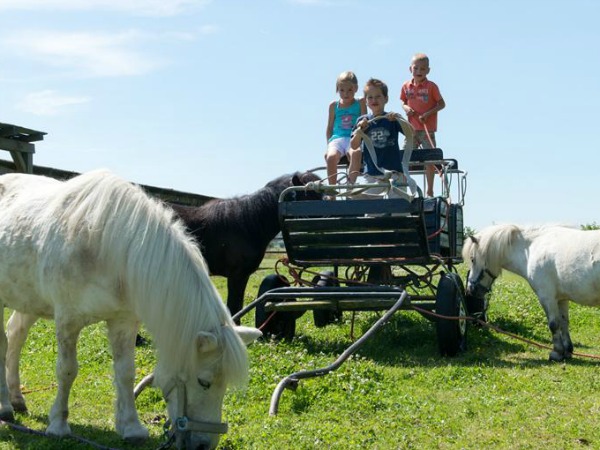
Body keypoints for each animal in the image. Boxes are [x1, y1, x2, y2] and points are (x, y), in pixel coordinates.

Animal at [0, 170, 262, 450]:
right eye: (204, 381)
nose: (204, 445)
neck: (103, 245)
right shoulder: (67, 321)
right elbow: (67, 370)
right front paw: (58, 425)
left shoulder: (123, 322)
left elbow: (126, 372)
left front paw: (131, 427)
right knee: (4, 344)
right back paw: (6, 407)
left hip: (29, 300)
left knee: (15, 335)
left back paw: (17, 399)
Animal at [464, 223, 600, 364]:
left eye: (472, 259)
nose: (470, 289)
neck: (532, 248)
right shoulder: (561, 298)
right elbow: (564, 323)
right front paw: (567, 351)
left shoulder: (547, 297)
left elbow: (553, 324)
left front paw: (556, 353)